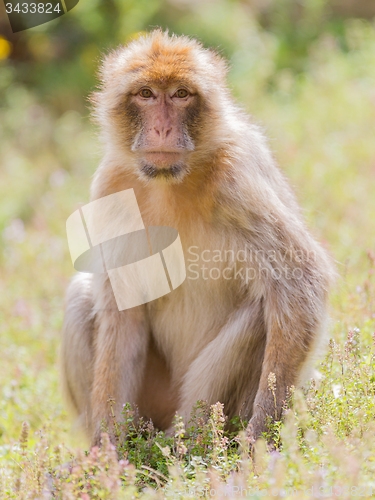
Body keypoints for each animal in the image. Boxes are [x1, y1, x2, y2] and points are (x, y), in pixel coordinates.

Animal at [60, 30, 336, 446]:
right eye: (146, 94)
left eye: (180, 94)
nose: (161, 129)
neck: (171, 183)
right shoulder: (111, 184)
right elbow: (122, 309)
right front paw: (106, 453)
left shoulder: (236, 182)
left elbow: (299, 282)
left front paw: (259, 440)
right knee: (81, 296)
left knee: (262, 310)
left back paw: (188, 442)